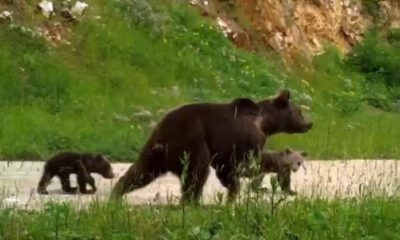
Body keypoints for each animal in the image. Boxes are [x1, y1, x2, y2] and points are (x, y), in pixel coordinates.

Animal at [110, 89, 312, 203]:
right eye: (299, 111)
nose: (309, 123)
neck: (265, 124)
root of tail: (164, 139)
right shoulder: (243, 139)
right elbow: (238, 165)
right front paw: (236, 190)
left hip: (155, 149)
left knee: (140, 172)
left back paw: (116, 195)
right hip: (192, 141)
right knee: (197, 172)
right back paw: (192, 202)